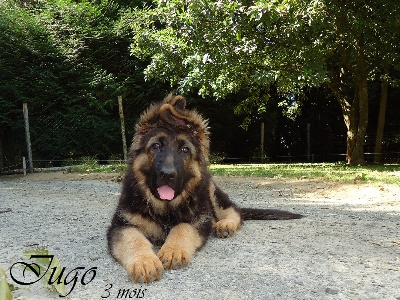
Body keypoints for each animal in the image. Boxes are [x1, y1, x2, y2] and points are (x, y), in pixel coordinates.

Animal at [106, 94, 300, 284]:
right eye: (156, 146)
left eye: (185, 150)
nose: (167, 175)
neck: (166, 209)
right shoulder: (121, 226)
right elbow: (134, 239)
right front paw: (144, 262)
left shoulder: (198, 221)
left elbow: (183, 227)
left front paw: (173, 250)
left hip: (211, 191)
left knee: (233, 210)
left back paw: (225, 224)